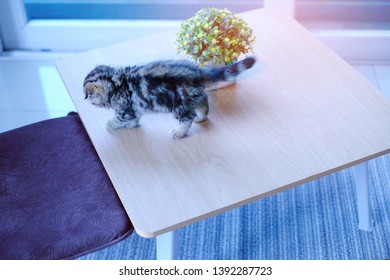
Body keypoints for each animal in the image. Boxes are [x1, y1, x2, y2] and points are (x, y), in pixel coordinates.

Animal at [83, 56, 256, 139]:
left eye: (91, 100)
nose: (91, 104)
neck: (116, 82)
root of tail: (198, 72)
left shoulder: (126, 108)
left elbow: (119, 118)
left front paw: (111, 123)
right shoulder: (135, 107)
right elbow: (135, 117)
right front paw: (132, 125)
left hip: (179, 103)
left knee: (188, 117)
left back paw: (179, 131)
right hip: (193, 96)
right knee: (203, 104)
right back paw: (201, 117)